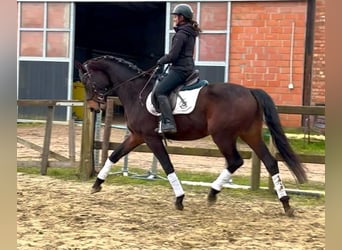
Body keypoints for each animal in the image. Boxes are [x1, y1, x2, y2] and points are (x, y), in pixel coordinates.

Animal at [77, 55, 308, 217]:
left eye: (86, 81)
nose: (92, 107)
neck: (136, 92)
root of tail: (249, 91)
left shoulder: (151, 138)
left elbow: (167, 165)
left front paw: (179, 199)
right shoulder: (137, 136)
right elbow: (114, 155)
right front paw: (97, 184)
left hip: (222, 135)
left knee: (235, 161)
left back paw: (213, 193)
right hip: (249, 134)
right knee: (270, 162)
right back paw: (285, 204)